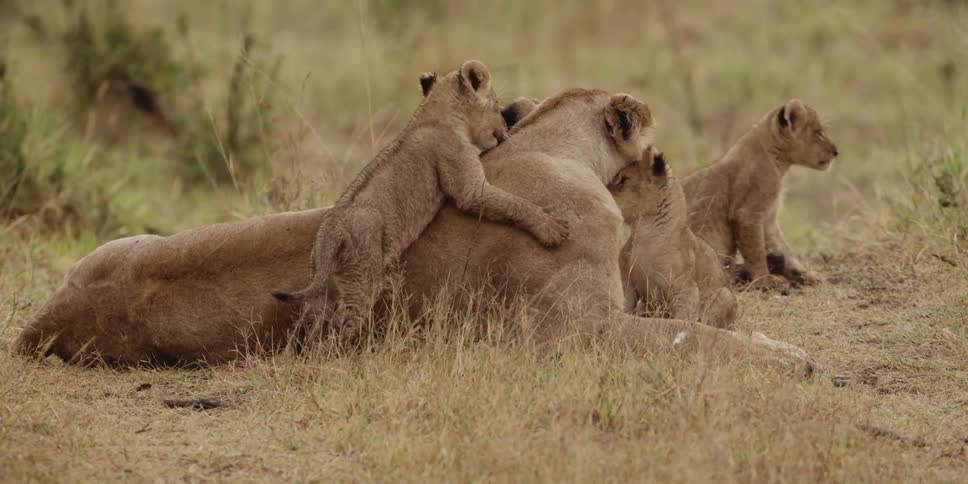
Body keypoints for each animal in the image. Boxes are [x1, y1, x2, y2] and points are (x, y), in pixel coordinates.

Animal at [270, 60, 569, 344]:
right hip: (362, 271)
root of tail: (330, 229)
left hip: (326, 280)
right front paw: (551, 227)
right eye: (497, 105)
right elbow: (507, 201)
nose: (504, 128)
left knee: (314, 318)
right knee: (345, 319)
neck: (434, 115)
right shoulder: (461, 173)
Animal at [609, 146, 737, 329]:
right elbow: (626, 309)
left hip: (724, 295)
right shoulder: (627, 284)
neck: (642, 232)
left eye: (624, 179)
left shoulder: (685, 289)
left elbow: (681, 319)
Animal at [682, 99, 839, 290]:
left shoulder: (769, 218)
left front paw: (807, 274)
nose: (836, 152)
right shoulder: (747, 214)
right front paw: (765, 280)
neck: (779, 163)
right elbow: (755, 251)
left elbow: (784, 248)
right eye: (819, 133)